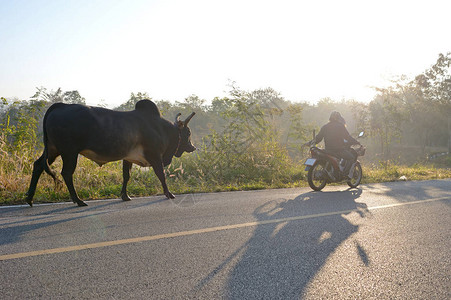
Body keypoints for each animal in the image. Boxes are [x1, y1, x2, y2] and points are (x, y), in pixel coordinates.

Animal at [26, 100, 196, 206]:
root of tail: (60, 106)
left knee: (38, 165)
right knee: (66, 173)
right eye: (188, 133)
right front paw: (169, 194)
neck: (162, 129)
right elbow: (162, 176)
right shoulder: (155, 156)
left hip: (53, 150)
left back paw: (29, 198)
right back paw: (78, 201)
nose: (193, 147)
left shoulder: (128, 158)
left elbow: (126, 176)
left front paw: (125, 196)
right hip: (69, 152)